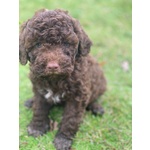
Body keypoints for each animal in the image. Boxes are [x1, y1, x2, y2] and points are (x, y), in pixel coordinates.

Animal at [19, 8, 106, 149]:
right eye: (38, 45)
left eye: (65, 43)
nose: (53, 66)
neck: (56, 79)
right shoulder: (39, 89)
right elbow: (39, 109)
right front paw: (37, 127)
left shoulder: (78, 96)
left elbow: (70, 118)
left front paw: (63, 139)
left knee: (94, 97)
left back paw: (96, 107)